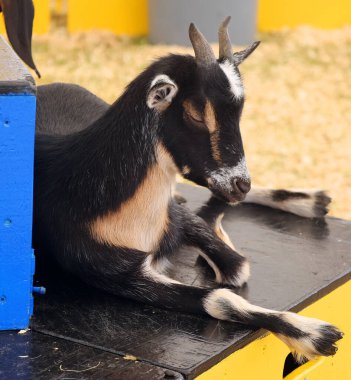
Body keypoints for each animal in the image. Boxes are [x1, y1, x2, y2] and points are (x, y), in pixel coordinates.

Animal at [33, 18, 344, 362]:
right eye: (196, 114)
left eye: (240, 113)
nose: (240, 183)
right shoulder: (116, 275)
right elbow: (221, 297)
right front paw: (314, 334)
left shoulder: (178, 220)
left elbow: (237, 266)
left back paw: (310, 199)